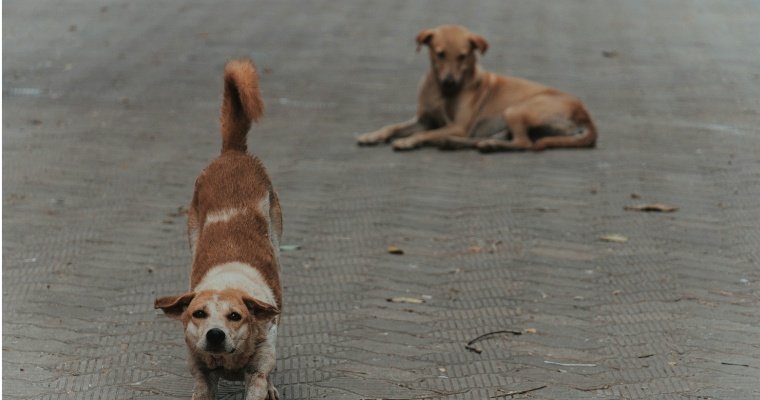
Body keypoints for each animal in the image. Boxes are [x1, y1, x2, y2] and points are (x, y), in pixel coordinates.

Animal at [155, 59, 284, 400]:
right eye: (198, 313)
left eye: (235, 316)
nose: (215, 334)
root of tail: (233, 152)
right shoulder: (200, 372)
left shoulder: (257, 369)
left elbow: (261, 376)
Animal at [358, 24, 600, 152]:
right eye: (440, 54)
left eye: (463, 56)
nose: (449, 82)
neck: (441, 93)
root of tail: (585, 114)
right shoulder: (424, 119)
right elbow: (392, 126)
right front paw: (372, 135)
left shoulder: (458, 125)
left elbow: (425, 133)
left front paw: (408, 140)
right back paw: (457, 142)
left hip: (516, 109)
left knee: (525, 143)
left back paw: (486, 144)